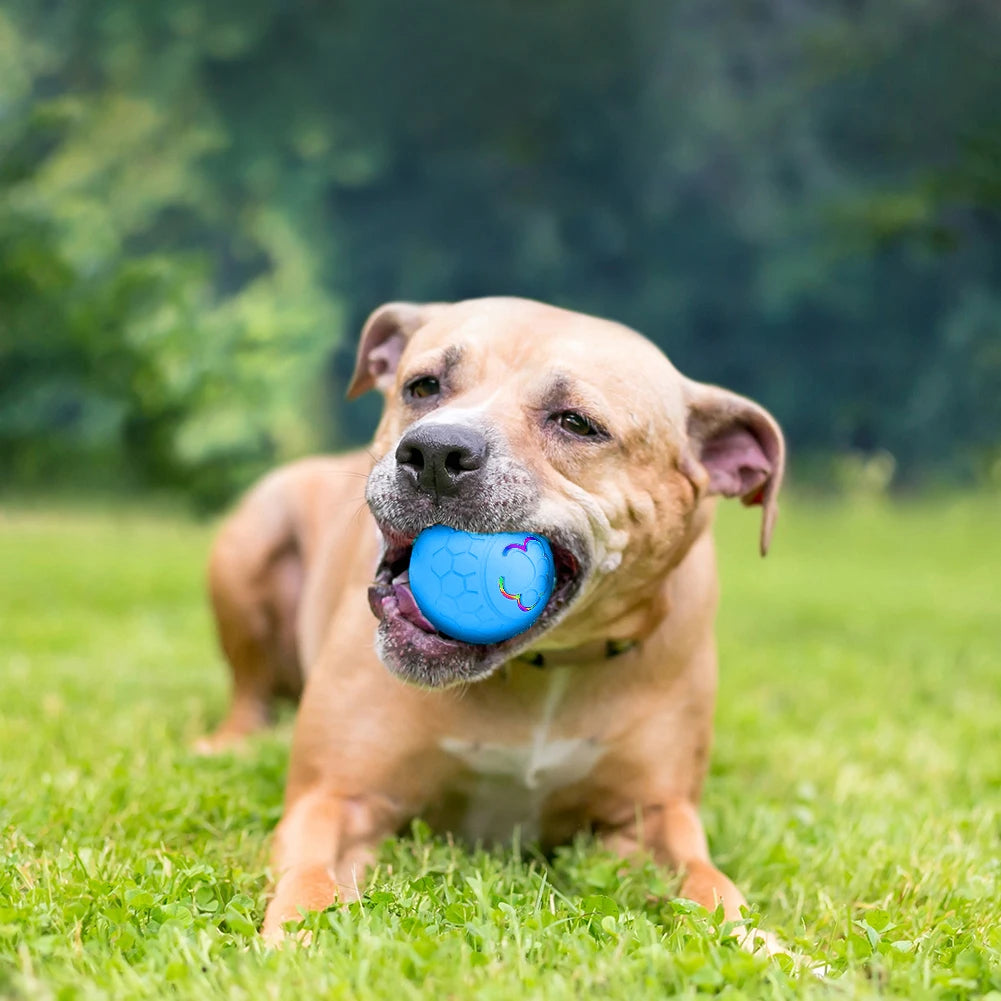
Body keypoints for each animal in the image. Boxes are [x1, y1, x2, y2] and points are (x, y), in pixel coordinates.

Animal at [201, 296, 780, 944]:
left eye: (576, 423)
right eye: (423, 386)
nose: (433, 453)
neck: (543, 664)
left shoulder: (655, 817)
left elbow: (711, 885)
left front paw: (764, 945)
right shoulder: (335, 795)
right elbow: (311, 876)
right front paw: (304, 936)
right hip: (250, 542)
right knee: (248, 688)